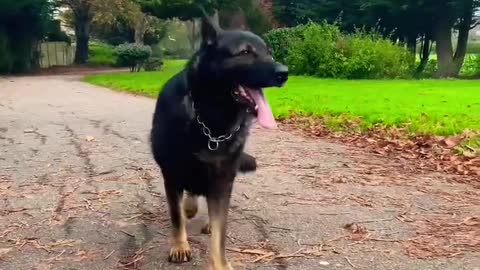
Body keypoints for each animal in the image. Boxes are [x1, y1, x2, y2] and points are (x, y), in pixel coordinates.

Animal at [150, 15, 286, 270]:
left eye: (270, 53)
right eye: (245, 52)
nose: (285, 72)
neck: (211, 121)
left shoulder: (223, 181)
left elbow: (220, 235)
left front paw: (220, 264)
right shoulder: (171, 176)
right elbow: (176, 217)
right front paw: (180, 245)